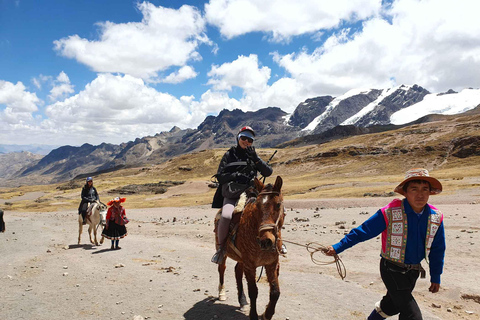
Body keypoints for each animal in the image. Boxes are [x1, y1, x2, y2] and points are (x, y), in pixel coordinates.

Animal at [215, 176, 284, 318]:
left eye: (278, 204)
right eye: (257, 206)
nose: (266, 241)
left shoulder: (271, 263)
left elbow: (275, 292)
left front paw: (266, 314)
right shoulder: (250, 265)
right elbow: (253, 291)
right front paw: (254, 315)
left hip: (242, 259)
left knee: (237, 270)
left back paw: (242, 301)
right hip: (224, 253)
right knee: (222, 269)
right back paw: (222, 293)